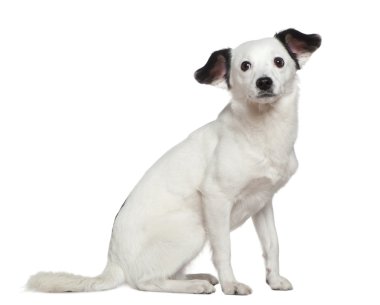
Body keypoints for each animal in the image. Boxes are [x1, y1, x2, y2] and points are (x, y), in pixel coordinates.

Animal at [27, 28, 320, 294]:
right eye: (245, 66)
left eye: (279, 61)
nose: (264, 82)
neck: (262, 130)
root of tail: (114, 262)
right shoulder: (216, 199)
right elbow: (224, 249)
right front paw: (231, 285)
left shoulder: (263, 202)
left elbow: (272, 244)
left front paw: (274, 280)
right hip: (194, 229)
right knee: (146, 282)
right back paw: (194, 286)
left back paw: (196, 277)